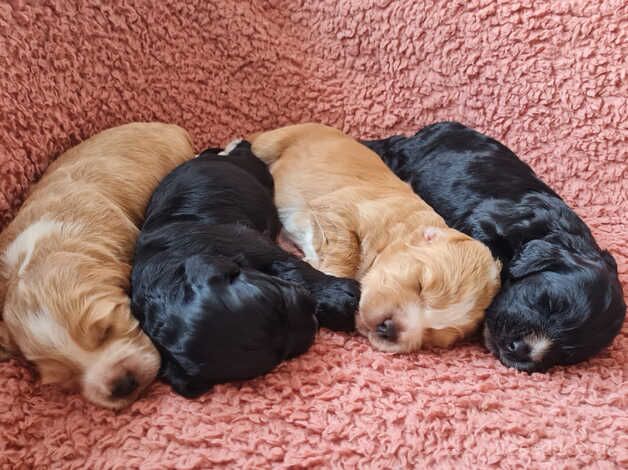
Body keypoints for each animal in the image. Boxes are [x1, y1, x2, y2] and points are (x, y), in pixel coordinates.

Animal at [130, 140, 360, 396]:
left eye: (278, 301)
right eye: (280, 355)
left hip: (251, 168)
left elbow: (294, 267)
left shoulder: (248, 241)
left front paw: (341, 298)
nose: (312, 321)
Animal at [249, 124, 500, 352]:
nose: (390, 329)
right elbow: (345, 249)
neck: (402, 230)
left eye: (433, 335)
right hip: (273, 142)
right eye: (420, 285)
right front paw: (333, 283)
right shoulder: (340, 210)